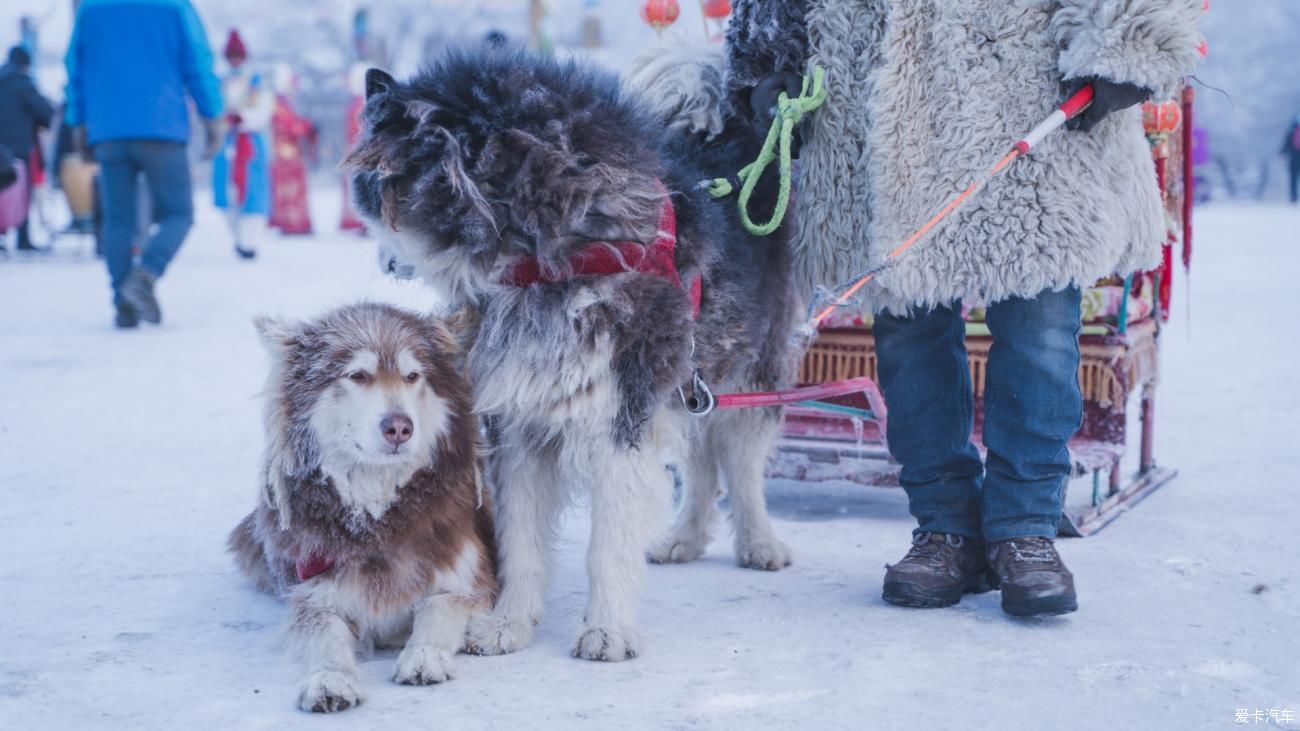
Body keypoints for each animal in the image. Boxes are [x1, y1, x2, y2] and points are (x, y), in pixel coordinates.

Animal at [228, 303, 496, 712]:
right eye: (357, 375)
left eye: (412, 376)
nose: (399, 427)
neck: (377, 513)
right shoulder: (313, 594)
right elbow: (326, 635)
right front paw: (330, 678)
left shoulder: (472, 581)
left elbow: (438, 609)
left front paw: (424, 655)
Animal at [340, 45, 795, 660]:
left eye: (376, 185)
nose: (386, 262)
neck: (547, 258)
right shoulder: (519, 422)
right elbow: (521, 541)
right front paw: (508, 623)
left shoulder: (623, 420)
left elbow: (608, 544)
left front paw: (607, 629)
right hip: (691, 380)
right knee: (701, 458)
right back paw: (685, 536)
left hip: (749, 366)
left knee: (742, 464)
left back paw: (758, 541)